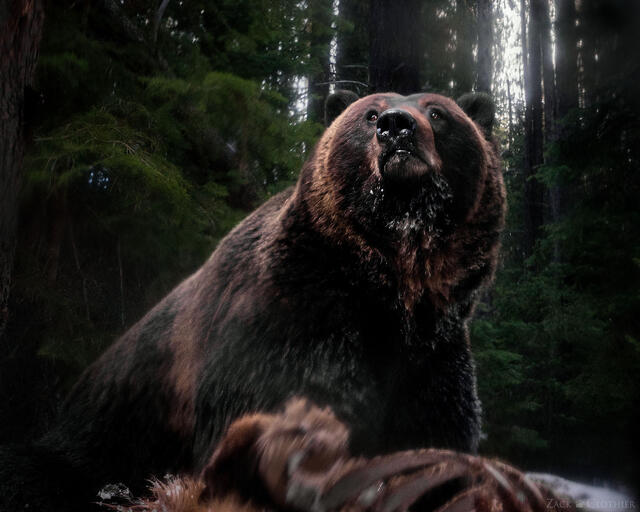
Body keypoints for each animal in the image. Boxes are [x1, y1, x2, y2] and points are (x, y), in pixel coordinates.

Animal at [0, 91, 505, 511]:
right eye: (370, 113)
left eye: (438, 112)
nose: (396, 126)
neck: (390, 287)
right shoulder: (289, 325)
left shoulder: (431, 359)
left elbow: (438, 440)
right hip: (98, 436)